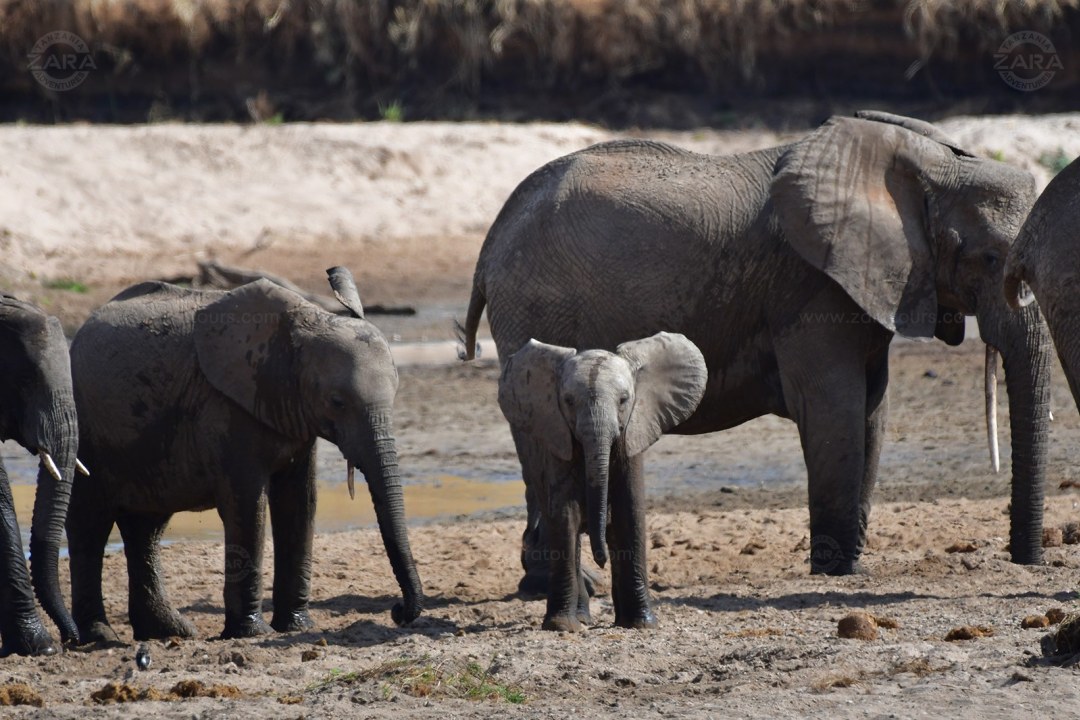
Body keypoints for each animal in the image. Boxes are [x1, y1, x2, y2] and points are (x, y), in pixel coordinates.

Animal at [68, 267, 423, 642]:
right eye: (337, 402)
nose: (398, 611)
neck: (306, 320)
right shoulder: (225, 407)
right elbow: (248, 506)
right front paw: (252, 633)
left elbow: (300, 503)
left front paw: (296, 626)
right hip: (86, 429)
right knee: (90, 525)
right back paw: (100, 636)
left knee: (145, 528)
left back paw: (168, 632)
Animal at [498, 333, 707, 630]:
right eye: (568, 400)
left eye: (624, 400)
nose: (601, 559)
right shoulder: (557, 438)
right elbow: (565, 515)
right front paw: (561, 627)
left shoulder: (633, 432)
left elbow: (629, 512)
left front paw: (641, 624)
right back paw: (581, 618)